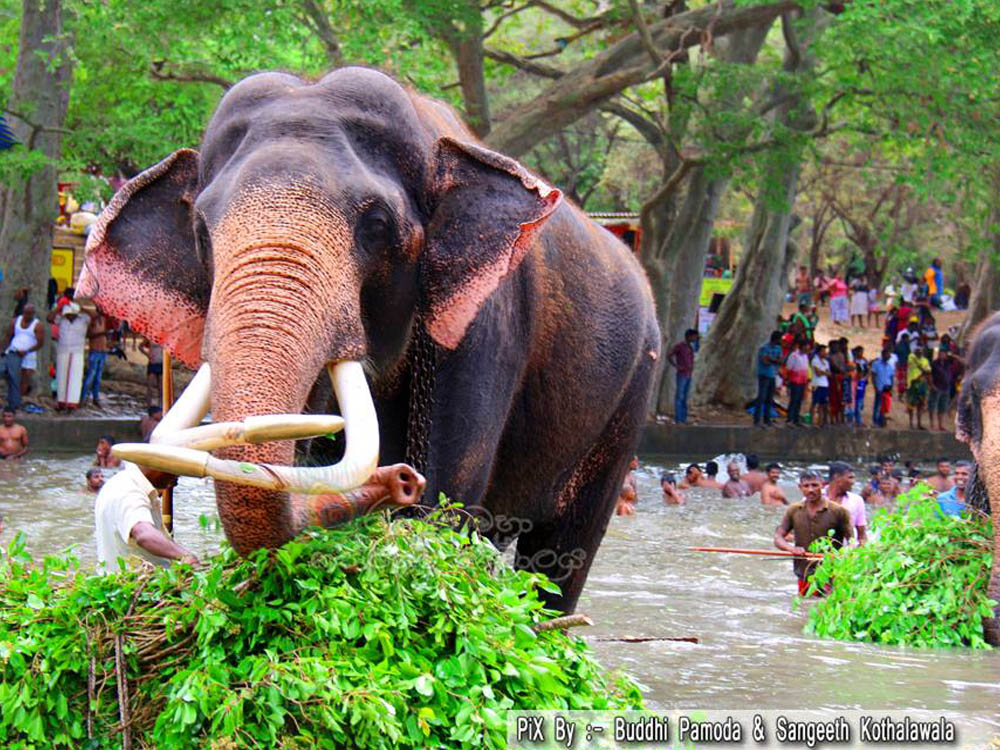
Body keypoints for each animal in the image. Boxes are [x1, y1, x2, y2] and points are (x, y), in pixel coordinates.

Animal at [82, 66, 660, 616]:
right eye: (202, 232)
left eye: (377, 224)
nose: (400, 477)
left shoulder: (488, 325)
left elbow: (447, 497)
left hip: (630, 400)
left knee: (561, 560)